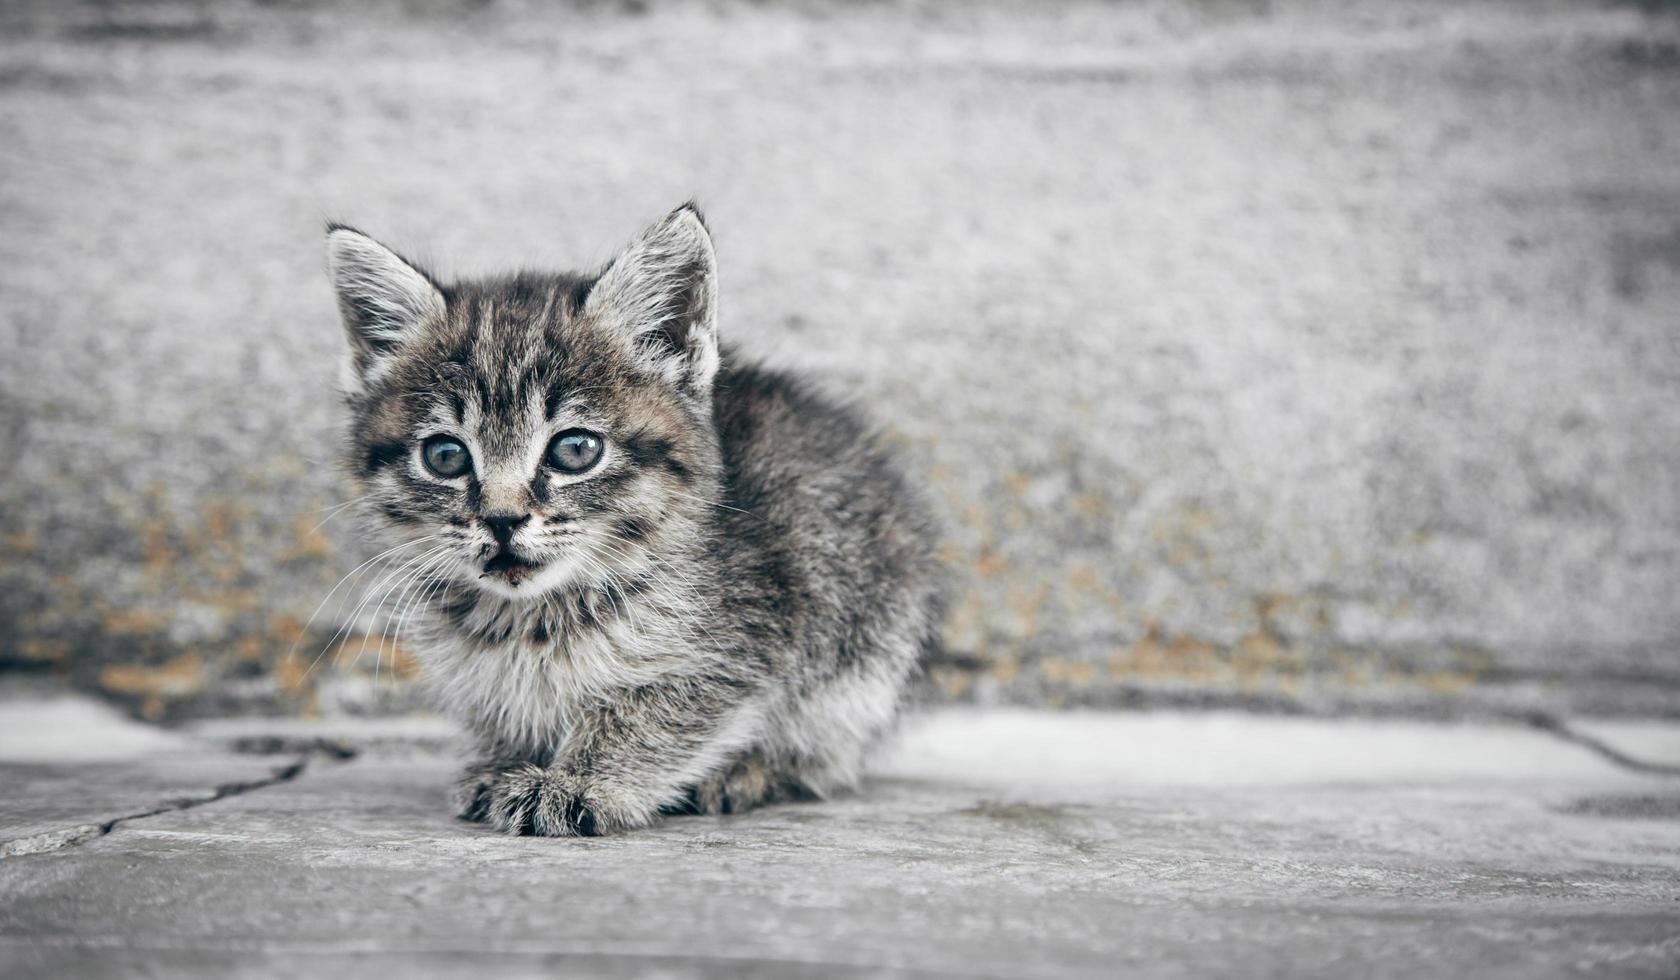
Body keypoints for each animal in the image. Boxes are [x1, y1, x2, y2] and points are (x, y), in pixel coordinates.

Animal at [324, 206, 947, 837]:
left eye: (575, 449)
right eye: (446, 456)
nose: (501, 520)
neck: (531, 617)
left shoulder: (750, 633)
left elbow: (651, 712)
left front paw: (577, 780)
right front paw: (502, 763)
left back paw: (753, 773)